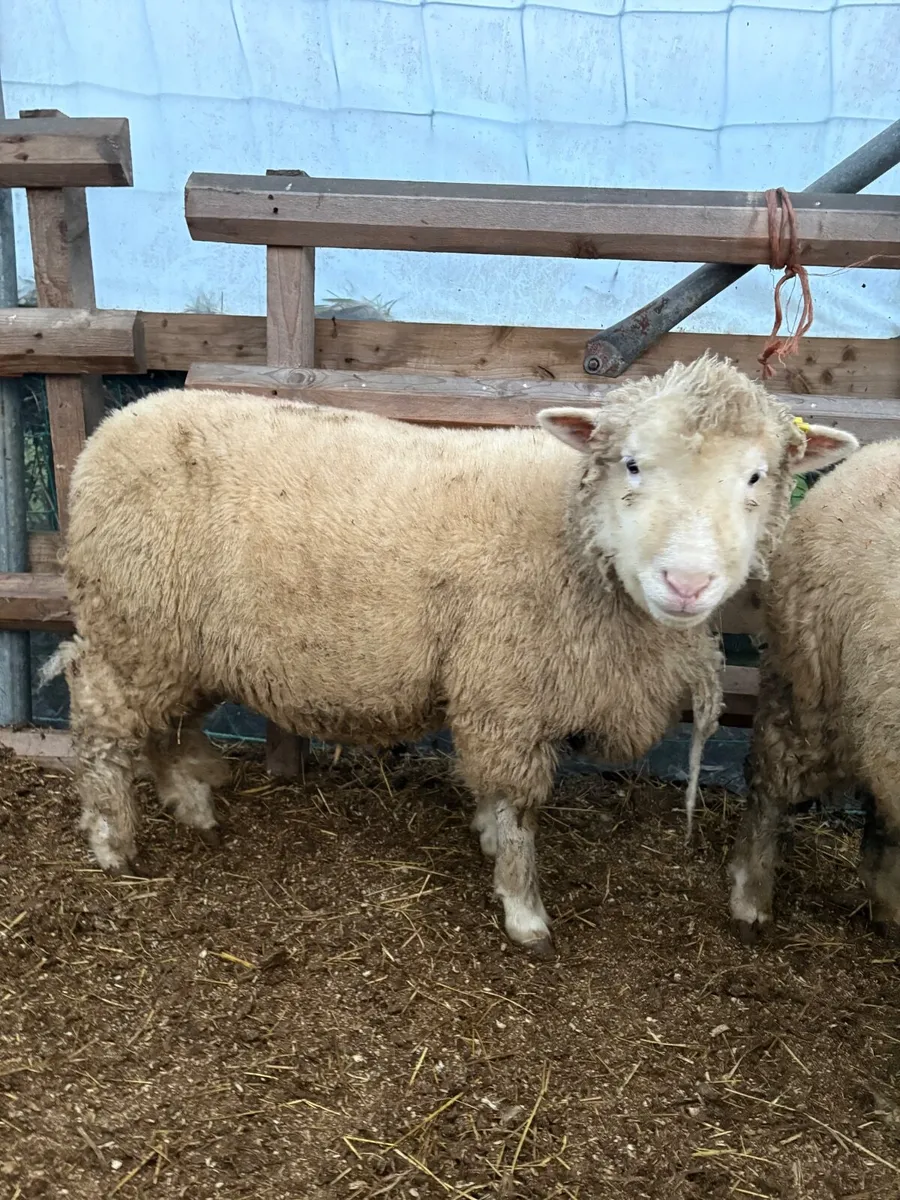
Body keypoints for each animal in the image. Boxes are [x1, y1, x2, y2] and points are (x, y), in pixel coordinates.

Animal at [45, 354, 857, 955]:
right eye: (630, 464)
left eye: (756, 477)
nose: (687, 583)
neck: (572, 540)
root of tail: (115, 425)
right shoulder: (507, 694)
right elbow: (518, 810)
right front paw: (524, 912)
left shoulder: (503, 697)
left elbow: (495, 801)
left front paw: (489, 844)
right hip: (132, 623)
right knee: (103, 722)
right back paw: (114, 840)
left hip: (173, 641)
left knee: (164, 724)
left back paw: (191, 805)